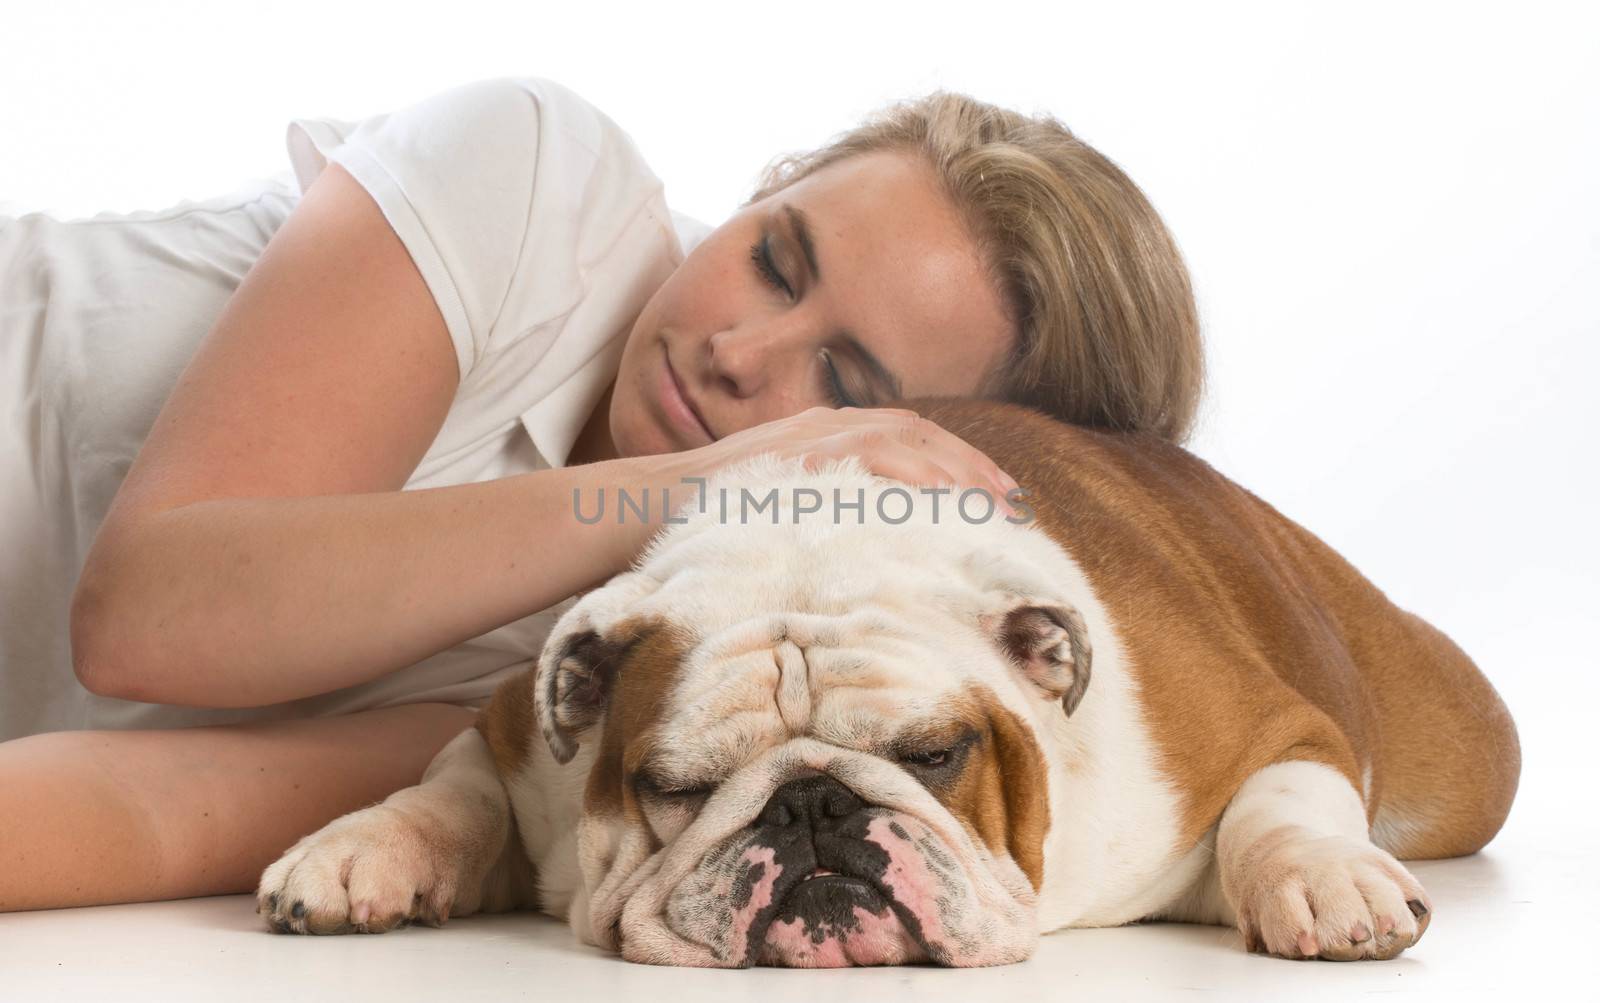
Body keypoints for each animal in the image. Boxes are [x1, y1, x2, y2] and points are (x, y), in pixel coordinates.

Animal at [256, 398, 1516, 966]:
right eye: (674, 785)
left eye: (936, 755)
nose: (812, 803)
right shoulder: (516, 731)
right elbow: (445, 789)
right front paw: (357, 851)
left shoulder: (1267, 728)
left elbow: (1285, 800)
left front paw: (1327, 881)